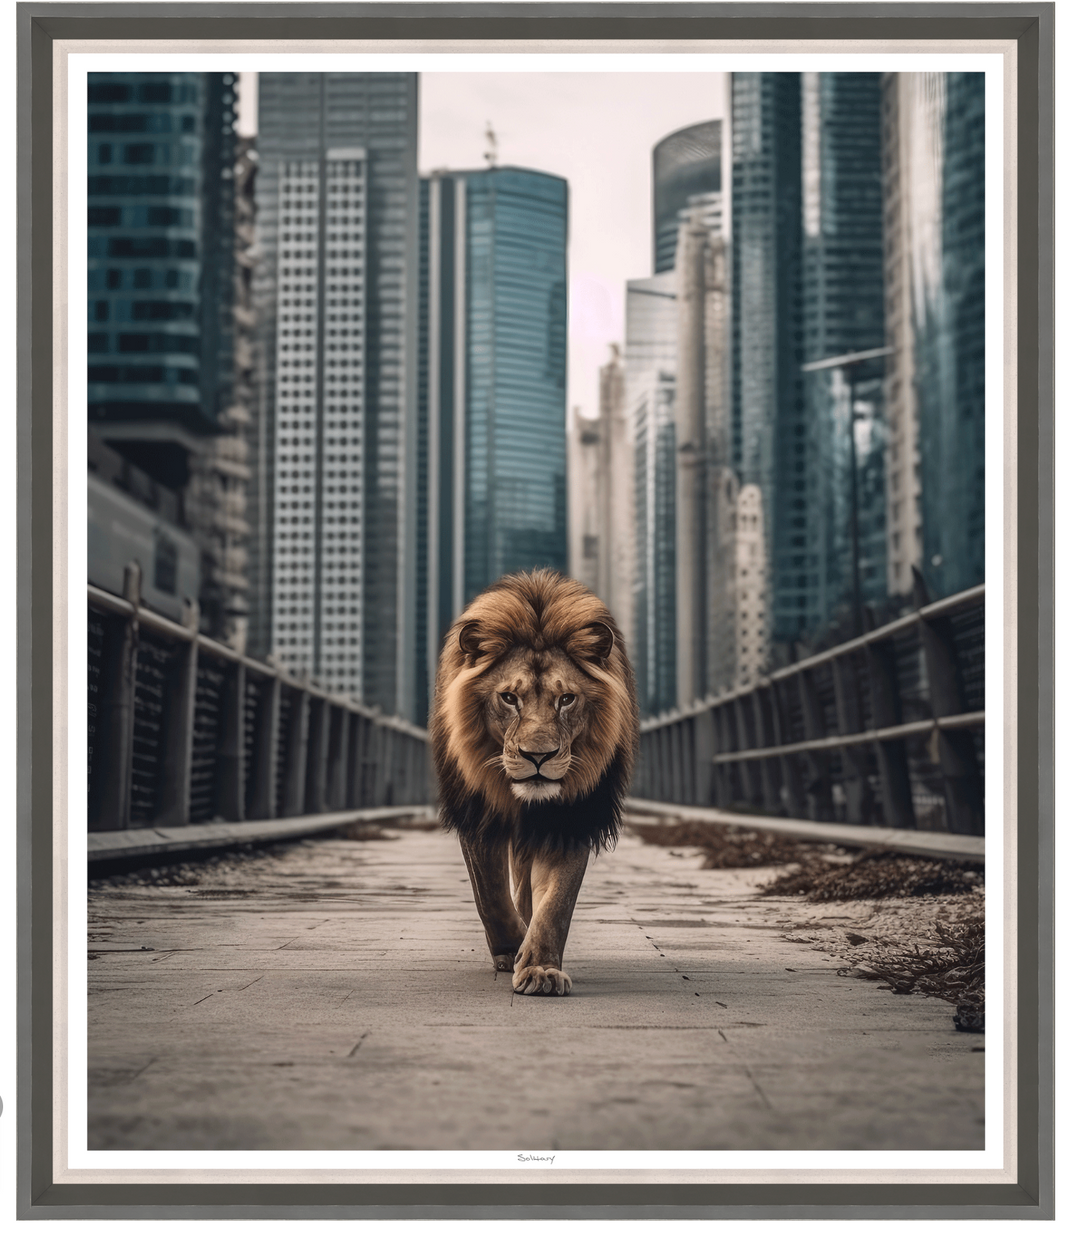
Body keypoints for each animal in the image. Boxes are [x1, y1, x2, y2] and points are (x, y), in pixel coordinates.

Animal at [430, 569, 638, 996]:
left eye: (567, 699)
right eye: (509, 698)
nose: (537, 757)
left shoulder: (570, 818)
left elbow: (556, 903)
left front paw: (540, 967)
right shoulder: (479, 812)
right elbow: (490, 894)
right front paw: (511, 949)